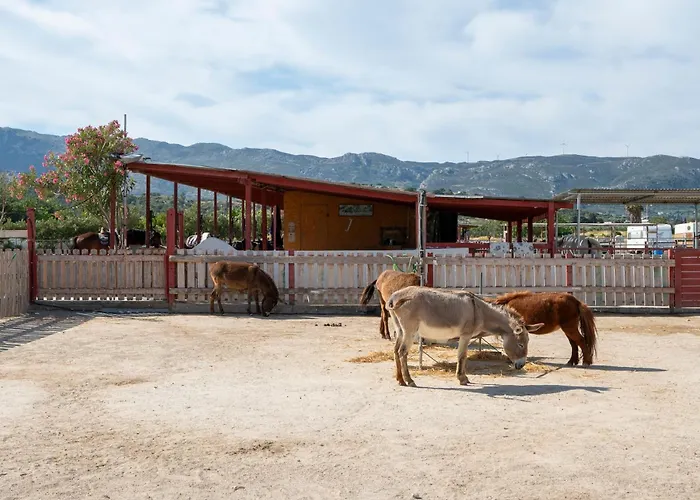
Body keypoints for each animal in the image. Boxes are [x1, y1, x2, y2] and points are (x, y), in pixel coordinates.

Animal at [386, 287, 544, 387]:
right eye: (521, 344)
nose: (521, 365)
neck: (479, 311)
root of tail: (394, 297)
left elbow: (462, 356)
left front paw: (462, 377)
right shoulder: (465, 336)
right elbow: (462, 356)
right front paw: (462, 378)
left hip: (400, 330)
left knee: (395, 351)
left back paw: (400, 380)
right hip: (410, 331)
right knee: (402, 352)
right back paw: (409, 380)